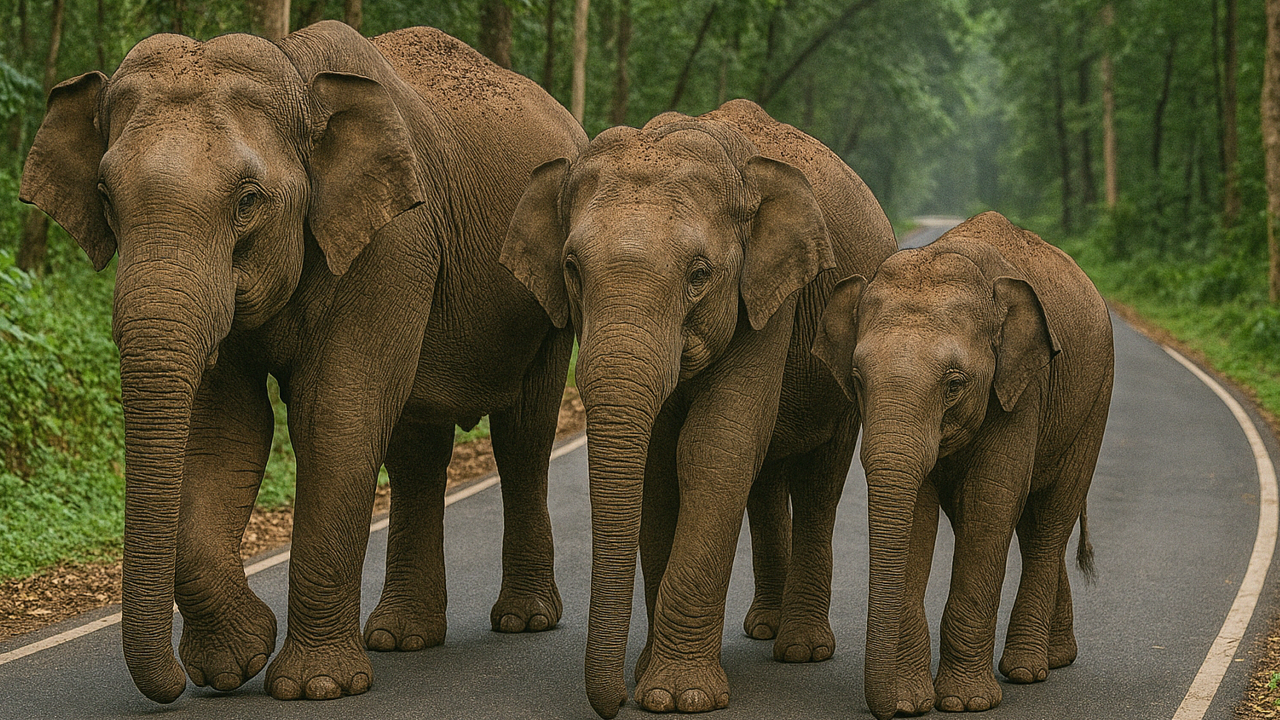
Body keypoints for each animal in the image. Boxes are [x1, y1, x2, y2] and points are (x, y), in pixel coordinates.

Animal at [19, 21, 585, 703]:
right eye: (105, 195)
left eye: (248, 200)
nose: (173, 686)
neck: (294, 71)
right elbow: (225, 429)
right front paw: (232, 664)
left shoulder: (395, 241)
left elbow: (334, 416)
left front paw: (314, 687)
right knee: (417, 447)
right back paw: (400, 638)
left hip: (549, 295)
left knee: (523, 434)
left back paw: (523, 622)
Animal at [502, 99, 897, 717]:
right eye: (572, 271)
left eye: (699, 275)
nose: (613, 702)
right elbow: (662, 461)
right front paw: (647, 680)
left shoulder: (771, 295)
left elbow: (715, 445)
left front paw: (675, 695)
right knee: (766, 476)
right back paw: (764, 627)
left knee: (819, 482)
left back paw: (799, 649)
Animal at [813, 211, 1113, 718]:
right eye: (857, 380)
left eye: (954, 385)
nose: (885, 709)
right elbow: (918, 513)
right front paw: (912, 702)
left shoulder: (1023, 385)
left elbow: (989, 502)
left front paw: (965, 703)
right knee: (1031, 524)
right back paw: (1057, 657)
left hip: (1095, 400)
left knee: (1050, 521)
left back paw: (1027, 670)